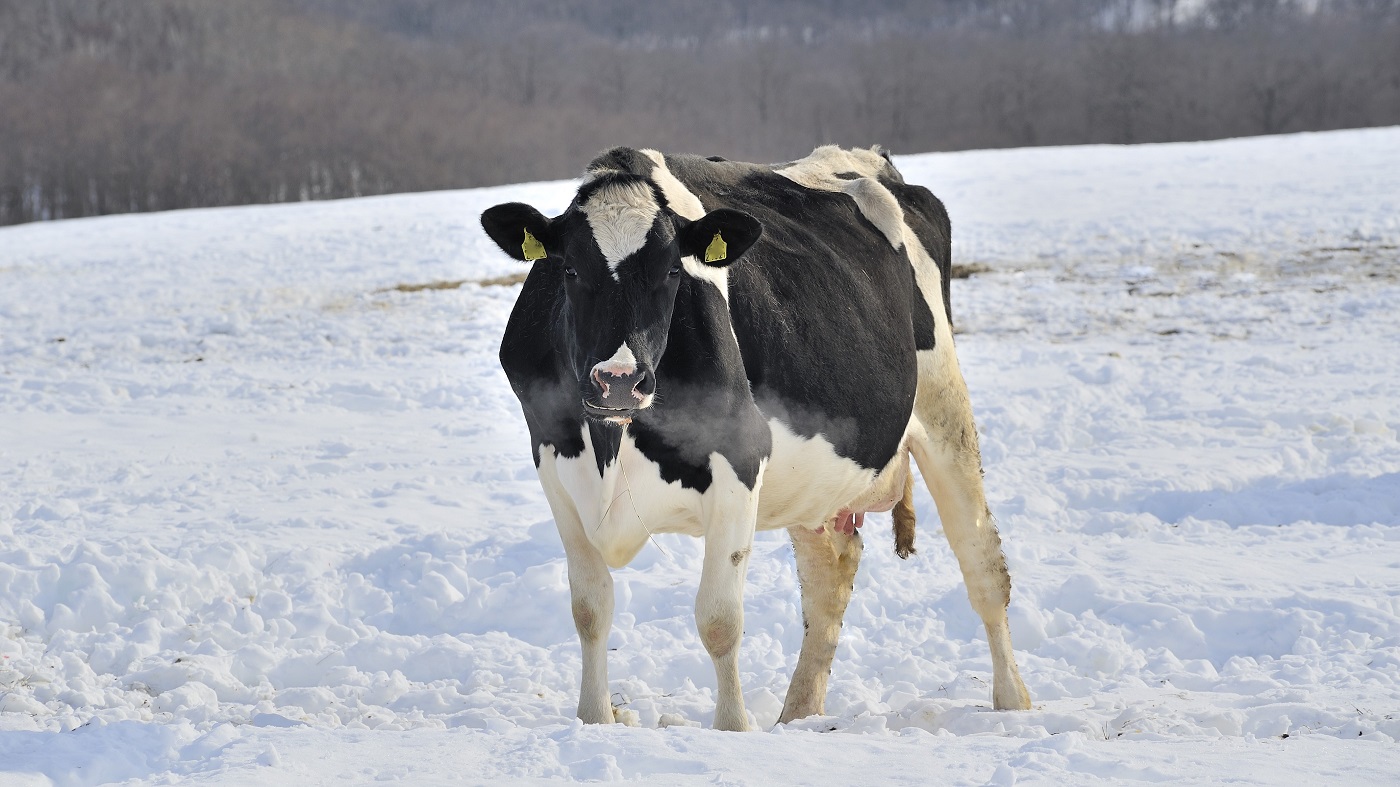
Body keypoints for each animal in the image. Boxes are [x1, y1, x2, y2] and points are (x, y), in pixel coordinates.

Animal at [481, 145, 1030, 728]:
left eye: (672, 270)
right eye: (568, 267)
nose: (620, 379)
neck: (613, 443)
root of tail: (869, 157)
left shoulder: (740, 457)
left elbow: (719, 620)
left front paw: (731, 727)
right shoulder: (552, 460)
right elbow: (590, 608)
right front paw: (595, 719)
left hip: (944, 406)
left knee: (983, 562)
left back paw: (1013, 703)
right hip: (817, 480)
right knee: (830, 578)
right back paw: (799, 715)